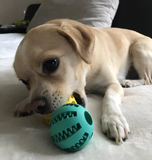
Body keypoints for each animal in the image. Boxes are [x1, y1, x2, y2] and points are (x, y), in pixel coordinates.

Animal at [13, 18, 152, 144]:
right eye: (24, 81)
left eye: (51, 63)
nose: (36, 106)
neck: (87, 75)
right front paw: (25, 102)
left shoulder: (113, 84)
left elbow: (109, 97)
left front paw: (113, 120)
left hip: (138, 47)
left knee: (147, 80)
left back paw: (130, 82)